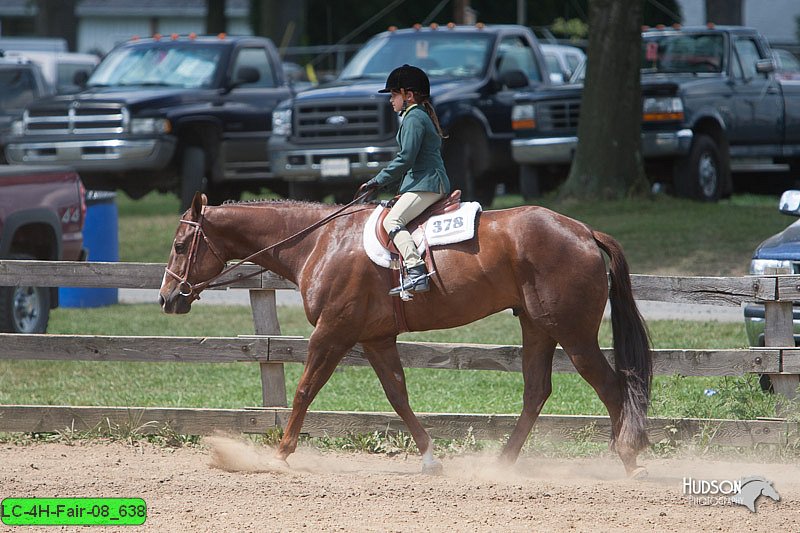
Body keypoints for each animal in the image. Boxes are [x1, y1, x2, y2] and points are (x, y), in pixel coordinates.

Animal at [161, 193, 648, 476]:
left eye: (181, 246)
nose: (167, 298)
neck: (320, 242)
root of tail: (583, 230)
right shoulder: (375, 339)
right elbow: (398, 396)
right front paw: (430, 457)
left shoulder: (332, 333)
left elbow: (304, 390)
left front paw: (280, 455)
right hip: (537, 327)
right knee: (536, 391)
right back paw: (502, 463)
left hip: (573, 333)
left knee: (611, 386)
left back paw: (629, 458)